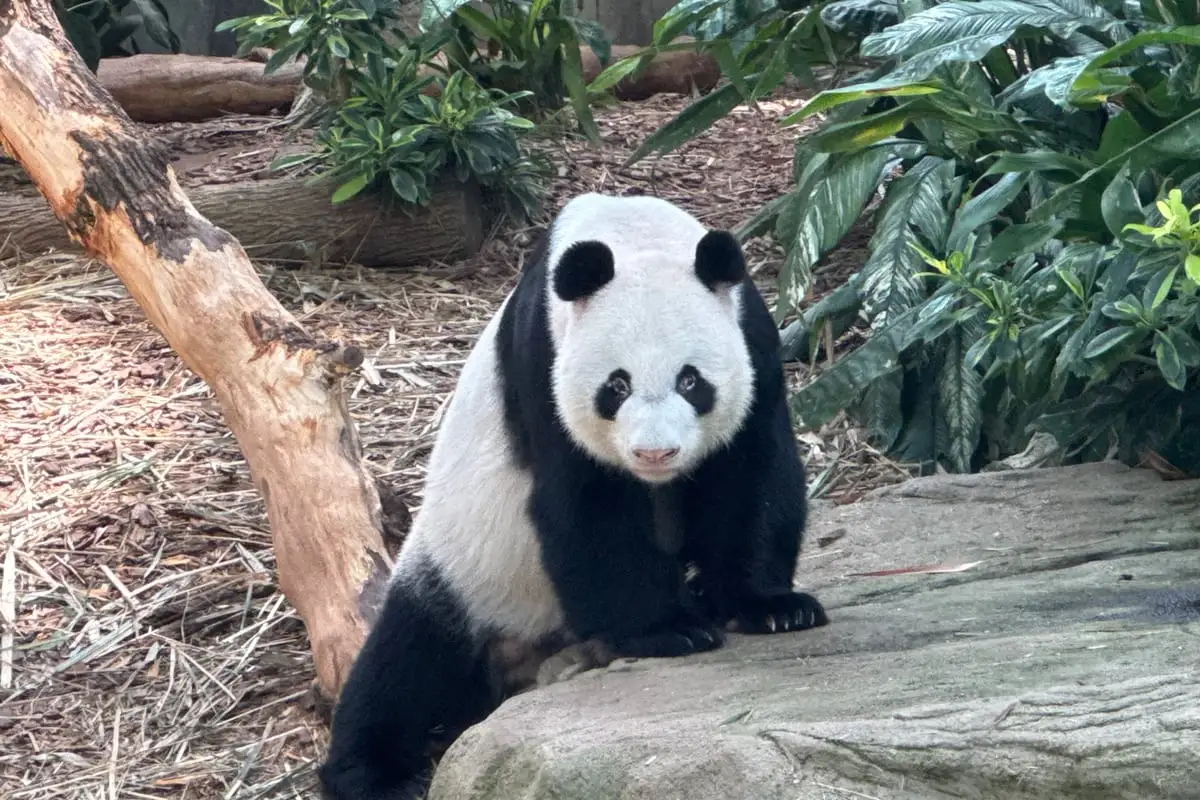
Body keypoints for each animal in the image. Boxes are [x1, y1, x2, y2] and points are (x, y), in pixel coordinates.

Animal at [317, 192, 828, 800]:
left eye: (690, 381)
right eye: (616, 386)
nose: (655, 453)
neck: (630, 235)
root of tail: (522, 660)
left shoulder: (752, 339)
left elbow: (750, 474)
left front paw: (771, 607)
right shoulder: (543, 362)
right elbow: (587, 503)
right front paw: (666, 630)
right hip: (463, 572)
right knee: (406, 664)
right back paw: (375, 775)